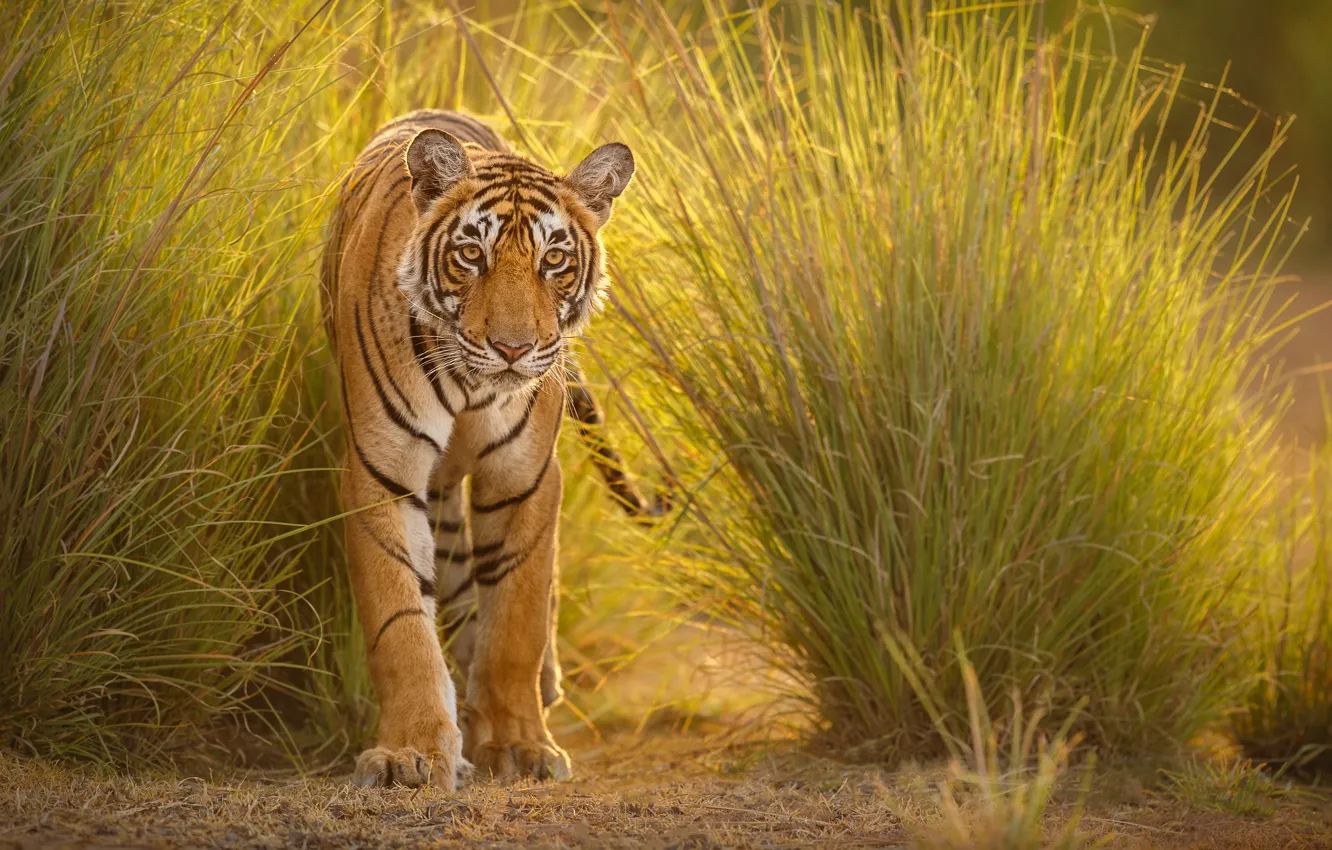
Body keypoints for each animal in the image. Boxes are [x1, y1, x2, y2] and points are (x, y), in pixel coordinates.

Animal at [319, 109, 659, 789]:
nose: (512, 348)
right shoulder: (381, 470)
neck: (471, 385)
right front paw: (412, 752)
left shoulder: (524, 473)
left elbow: (517, 616)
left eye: (554, 260)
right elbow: (401, 622)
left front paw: (519, 746)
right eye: (471, 254)